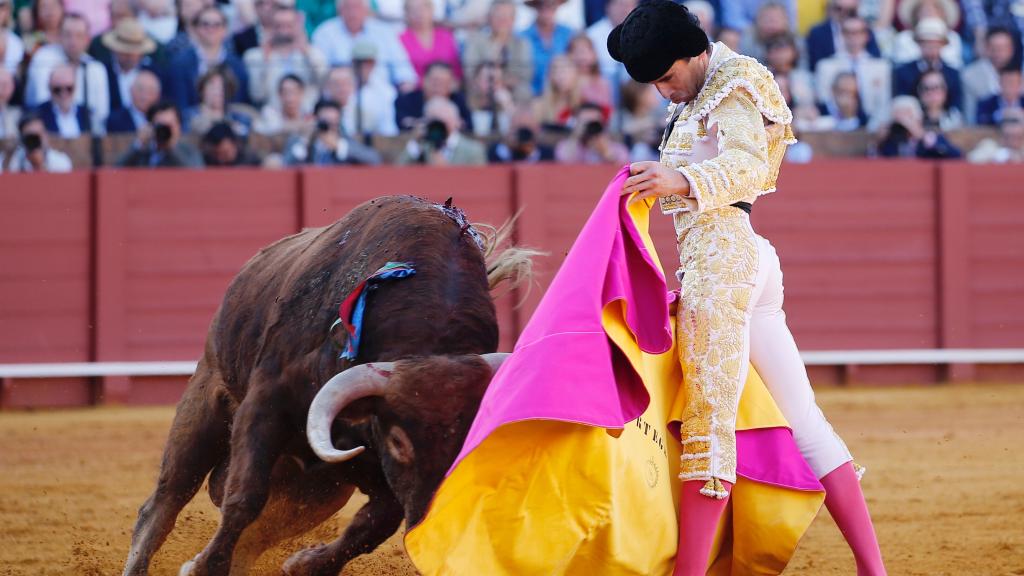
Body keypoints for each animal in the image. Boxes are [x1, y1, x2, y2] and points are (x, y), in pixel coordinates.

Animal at [121, 194, 528, 569]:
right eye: (398, 441)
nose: (432, 536)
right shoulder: (268, 400)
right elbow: (245, 495)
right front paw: (202, 566)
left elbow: (375, 524)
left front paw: (305, 564)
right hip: (204, 406)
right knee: (164, 503)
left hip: (316, 492)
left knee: (258, 536)